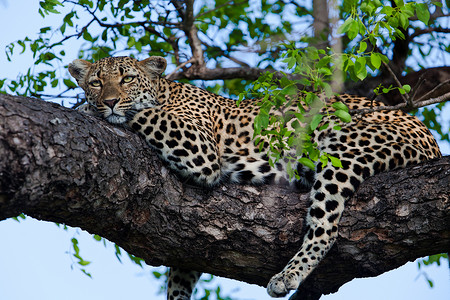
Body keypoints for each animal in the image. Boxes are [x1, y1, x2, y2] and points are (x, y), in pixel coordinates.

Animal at [68, 55, 442, 298]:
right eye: (96, 82)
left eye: (127, 79)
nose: (109, 101)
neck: (166, 91)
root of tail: (431, 139)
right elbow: (180, 273)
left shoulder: (199, 147)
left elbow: (144, 114)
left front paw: (89, 109)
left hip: (343, 150)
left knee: (326, 228)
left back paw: (287, 276)